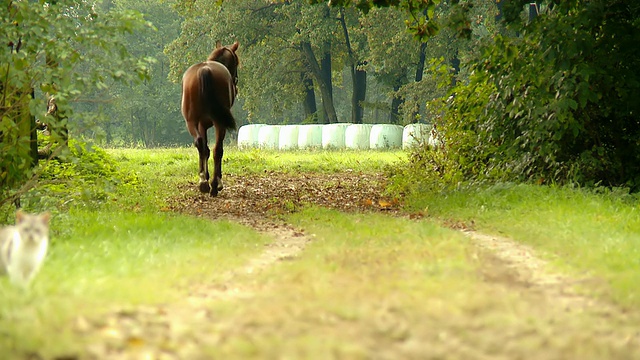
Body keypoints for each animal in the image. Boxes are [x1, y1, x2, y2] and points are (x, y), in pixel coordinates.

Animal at [181, 40, 239, 197]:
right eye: (237, 63)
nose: (236, 84)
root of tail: (205, 70)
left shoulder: (201, 125)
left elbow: (204, 149)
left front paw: (204, 177)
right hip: (219, 124)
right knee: (217, 149)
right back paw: (214, 185)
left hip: (191, 122)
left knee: (200, 144)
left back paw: (203, 182)